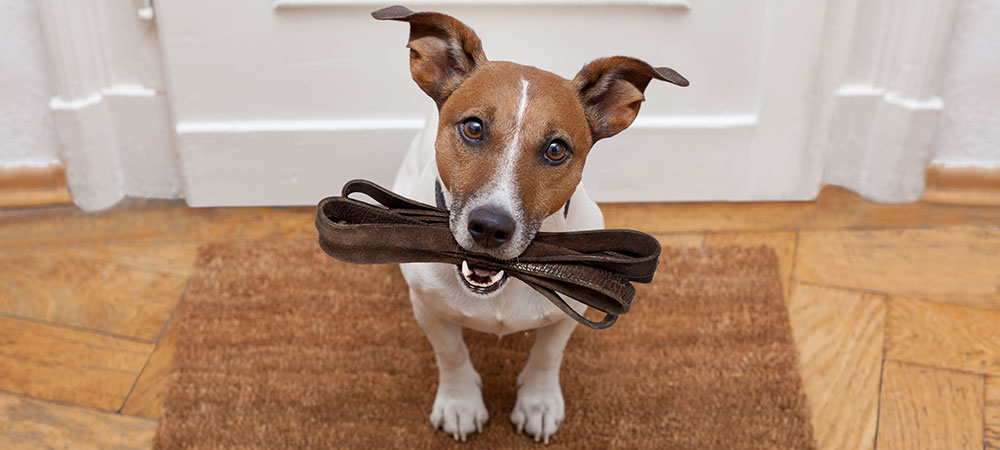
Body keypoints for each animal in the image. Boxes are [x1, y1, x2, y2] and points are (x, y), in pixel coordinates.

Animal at [376, 5, 688, 442]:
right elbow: (451, 353)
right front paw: (460, 402)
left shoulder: (568, 312)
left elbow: (547, 355)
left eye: (556, 149)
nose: (491, 226)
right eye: (473, 128)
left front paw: (538, 403)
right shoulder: (428, 308)